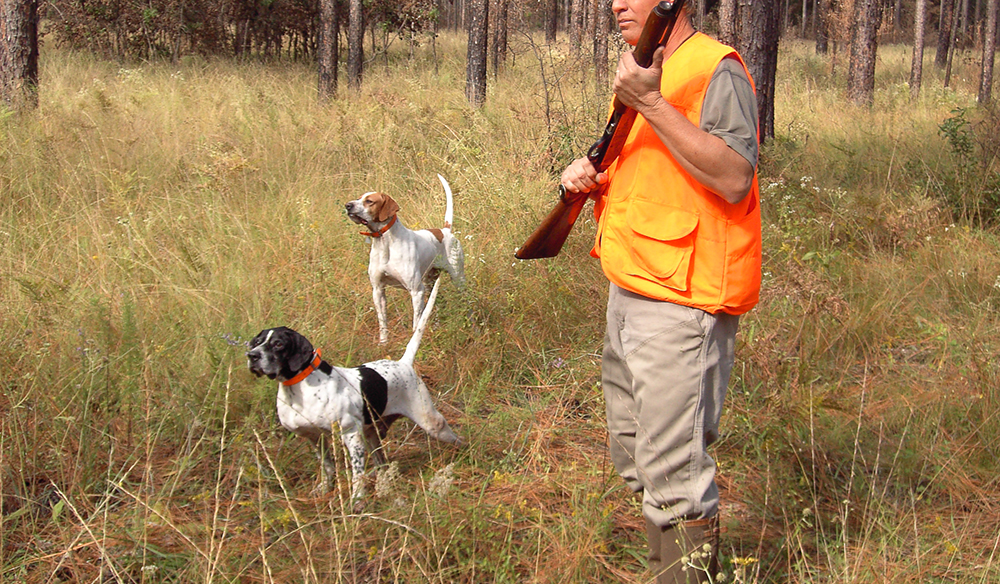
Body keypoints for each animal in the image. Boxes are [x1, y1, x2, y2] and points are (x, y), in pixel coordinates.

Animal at [246, 276, 460, 500]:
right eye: (257, 342)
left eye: (278, 344)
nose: (252, 355)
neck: (300, 387)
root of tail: (404, 363)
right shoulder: (315, 438)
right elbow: (327, 466)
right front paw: (325, 488)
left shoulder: (351, 434)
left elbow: (357, 473)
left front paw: (357, 499)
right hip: (374, 434)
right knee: (381, 462)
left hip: (432, 423)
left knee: (456, 439)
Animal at [346, 172, 466, 342]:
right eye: (358, 198)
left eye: (369, 201)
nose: (347, 205)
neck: (385, 243)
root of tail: (444, 230)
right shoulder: (378, 290)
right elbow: (382, 321)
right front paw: (384, 342)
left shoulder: (416, 291)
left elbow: (416, 323)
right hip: (430, 283)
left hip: (457, 279)